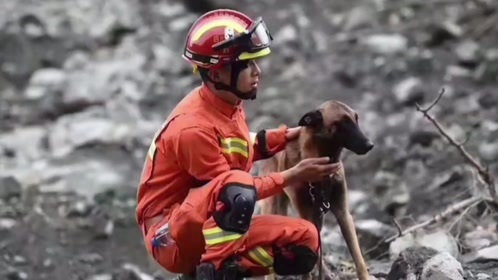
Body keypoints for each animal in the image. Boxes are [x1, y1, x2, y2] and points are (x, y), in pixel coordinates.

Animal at [258, 100, 372, 280]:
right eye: (342, 123)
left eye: (356, 119)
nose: (370, 145)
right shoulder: (307, 215)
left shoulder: (343, 213)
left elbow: (358, 258)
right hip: (274, 208)